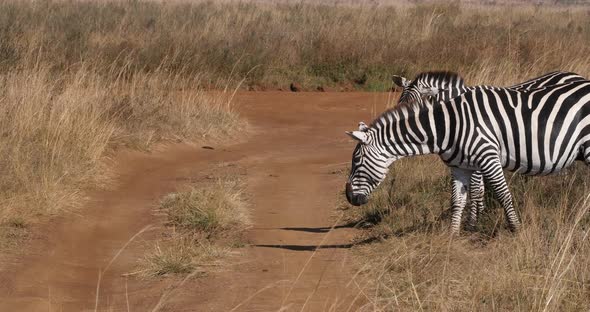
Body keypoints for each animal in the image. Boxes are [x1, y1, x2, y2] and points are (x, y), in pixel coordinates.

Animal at [344, 77, 590, 234]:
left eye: (357, 162)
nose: (349, 197)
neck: (448, 126)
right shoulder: (460, 167)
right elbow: (457, 200)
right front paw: (453, 236)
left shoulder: (488, 157)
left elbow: (502, 195)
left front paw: (516, 230)